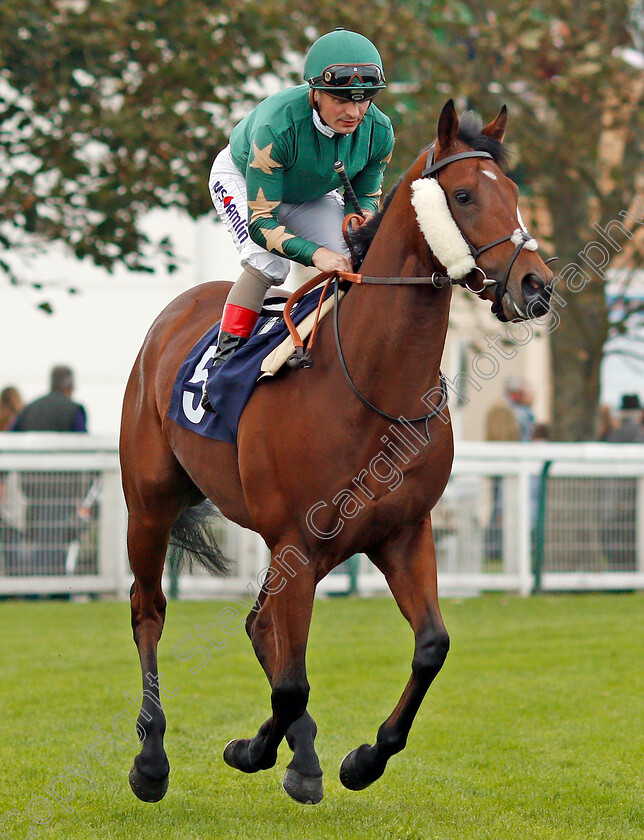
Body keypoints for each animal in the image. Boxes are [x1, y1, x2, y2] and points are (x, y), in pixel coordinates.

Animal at [122, 100, 552, 808]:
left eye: (514, 194)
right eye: (464, 195)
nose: (536, 285)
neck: (377, 386)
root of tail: (175, 311)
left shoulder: (401, 532)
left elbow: (431, 646)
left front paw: (361, 759)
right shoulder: (297, 539)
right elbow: (291, 681)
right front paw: (255, 751)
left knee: (260, 626)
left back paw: (302, 753)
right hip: (151, 501)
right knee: (149, 610)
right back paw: (152, 759)